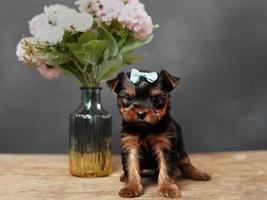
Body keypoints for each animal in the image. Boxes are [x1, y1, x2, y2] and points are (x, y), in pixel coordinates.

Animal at [107, 69, 211, 198]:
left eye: (155, 99)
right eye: (129, 98)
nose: (141, 113)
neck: (145, 128)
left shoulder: (165, 145)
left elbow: (166, 167)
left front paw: (168, 187)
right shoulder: (130, 144)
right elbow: (131, 166)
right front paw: (131, 187)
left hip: (180, 148)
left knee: (185, 162)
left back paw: (197, 173)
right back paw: (125, 176)